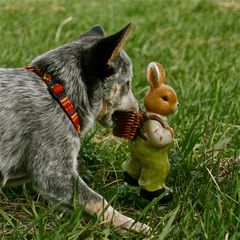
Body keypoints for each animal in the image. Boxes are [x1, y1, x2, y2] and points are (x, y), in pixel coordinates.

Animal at [0, 23, 150, 233]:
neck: (60, 92)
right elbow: (97, 201)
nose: (141, 110)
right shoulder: (53, 173)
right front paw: (134, 226)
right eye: (127, 83)